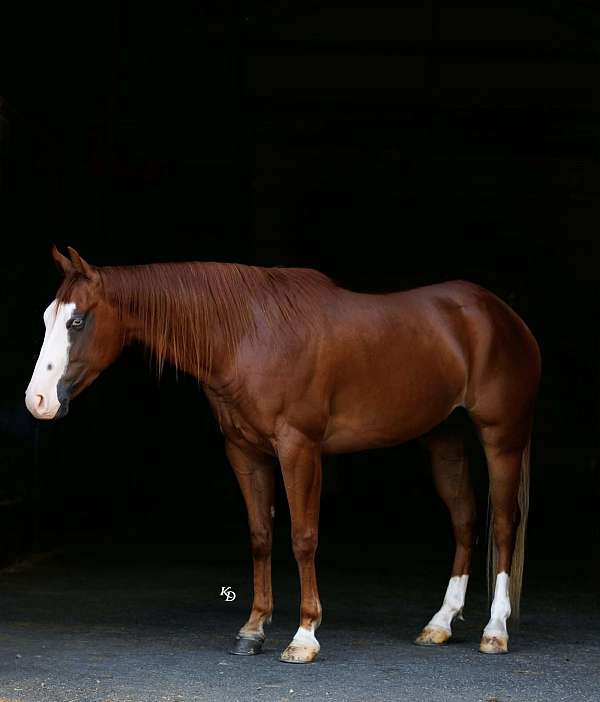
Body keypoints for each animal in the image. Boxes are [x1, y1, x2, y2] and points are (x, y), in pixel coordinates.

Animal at [26, 246, 541, 663]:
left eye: (77, 321)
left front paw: (304, 635)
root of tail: (502, 314)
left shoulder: (299, 448)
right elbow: (260, 536)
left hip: (501, 437)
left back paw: (495, 631)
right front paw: (252, 630)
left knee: (503, 524)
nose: (38, 401)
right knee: (465, 521)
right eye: (48, 318)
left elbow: (302, 537)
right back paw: (439, 624)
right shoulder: (244, 451)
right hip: (445, 438)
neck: (251, 334)